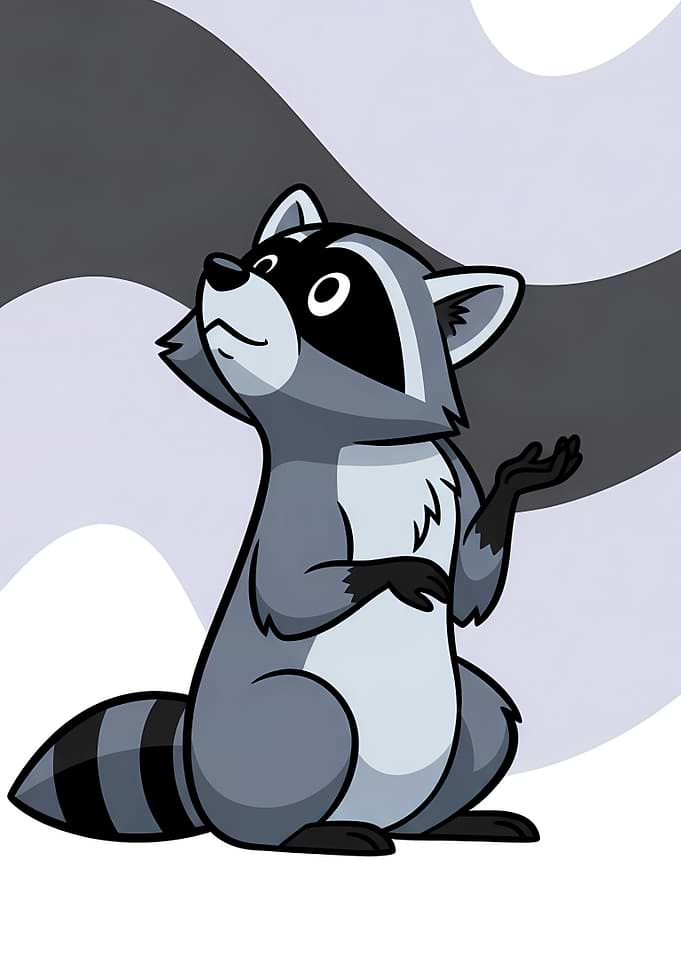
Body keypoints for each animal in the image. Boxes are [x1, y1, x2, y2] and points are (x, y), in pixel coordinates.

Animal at [10, 185, 582, 854]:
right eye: (267, 262)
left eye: (328, 290)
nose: (223, 269)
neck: (377, 445)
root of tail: (195, 779)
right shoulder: (301, 498)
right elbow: (291, 592)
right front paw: (395, 568)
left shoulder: (455, 477)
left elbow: (469, 595)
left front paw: (514, 485)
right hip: (260, 740)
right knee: (306, 720)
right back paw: (310, 833)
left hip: (457, 728)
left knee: (488, 706)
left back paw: (450, 822)